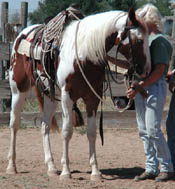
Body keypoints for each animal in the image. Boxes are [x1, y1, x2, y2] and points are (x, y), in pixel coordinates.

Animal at [6, 7, 151, 180]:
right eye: (140, 40)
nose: (146, 69)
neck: (84, 55)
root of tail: (23, 33)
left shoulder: (92, 98)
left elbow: (92, 132)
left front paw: (95, 172)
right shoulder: (67, 97)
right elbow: (67, 131)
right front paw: (66, 172)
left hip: (49, 97)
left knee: (45, 126)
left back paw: (51, 167)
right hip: (18, 89)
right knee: (14, 124)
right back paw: (11, 166)